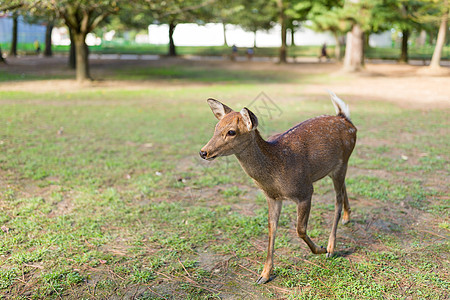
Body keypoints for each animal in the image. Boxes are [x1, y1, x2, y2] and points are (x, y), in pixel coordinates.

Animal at [199, 91, 356, 284]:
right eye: (216, 127)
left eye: (231, 132)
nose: (203, 152)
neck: (275, 170)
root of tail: (346, 119)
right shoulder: (272, 197)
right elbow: (271, 229)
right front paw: (264, 275)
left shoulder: (305, 190)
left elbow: (300, 229)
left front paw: (320, 249)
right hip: (334, 168)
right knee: (343, 189)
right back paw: (347, 218)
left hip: (342, 161)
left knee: (337, 201)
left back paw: (331, 247)